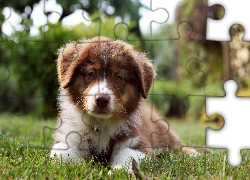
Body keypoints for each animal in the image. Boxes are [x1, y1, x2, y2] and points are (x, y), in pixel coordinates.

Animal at [49, 36, 196, 172]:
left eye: (119, 77)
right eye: (91, 73)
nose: (101, 99)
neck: (100, 125)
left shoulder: (138, 141)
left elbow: (127, 156)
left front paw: (118, 171)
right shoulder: (69, 134)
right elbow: (60, 151)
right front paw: (78, 166)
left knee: (178, 146)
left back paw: (194, 154)